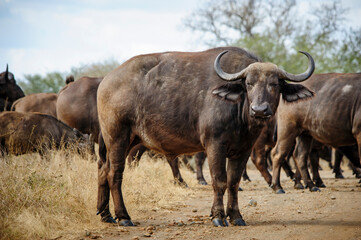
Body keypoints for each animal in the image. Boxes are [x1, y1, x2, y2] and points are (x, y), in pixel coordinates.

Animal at [97, 46, 314, 227]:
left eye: (274, 84)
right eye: (249, 83)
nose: (259, 109)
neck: (239, 110)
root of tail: (105, 81)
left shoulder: (243, 149)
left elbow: (234, 182)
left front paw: (235, 216)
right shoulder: (215, 145)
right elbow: (219, 180)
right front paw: (218, 216)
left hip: (127, 141)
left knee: (103, 170)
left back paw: (105, 214)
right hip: (117, 138)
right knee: (114, 173)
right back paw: (123, 217)